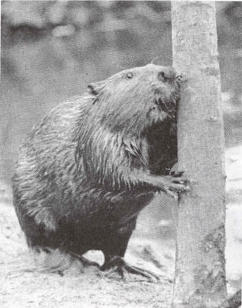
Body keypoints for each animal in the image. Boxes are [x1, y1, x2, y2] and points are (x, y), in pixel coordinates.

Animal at [12, 63, 187, 280]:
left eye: (152, 65)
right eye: (129, 75)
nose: (166, 73)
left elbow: (167, 150)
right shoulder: (99, 141)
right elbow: (118, 174)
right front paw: (173, 182)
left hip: (123, 228)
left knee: (113, 252)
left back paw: (132, 270)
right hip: (32, 210)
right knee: (45, 245)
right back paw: (78, 263)